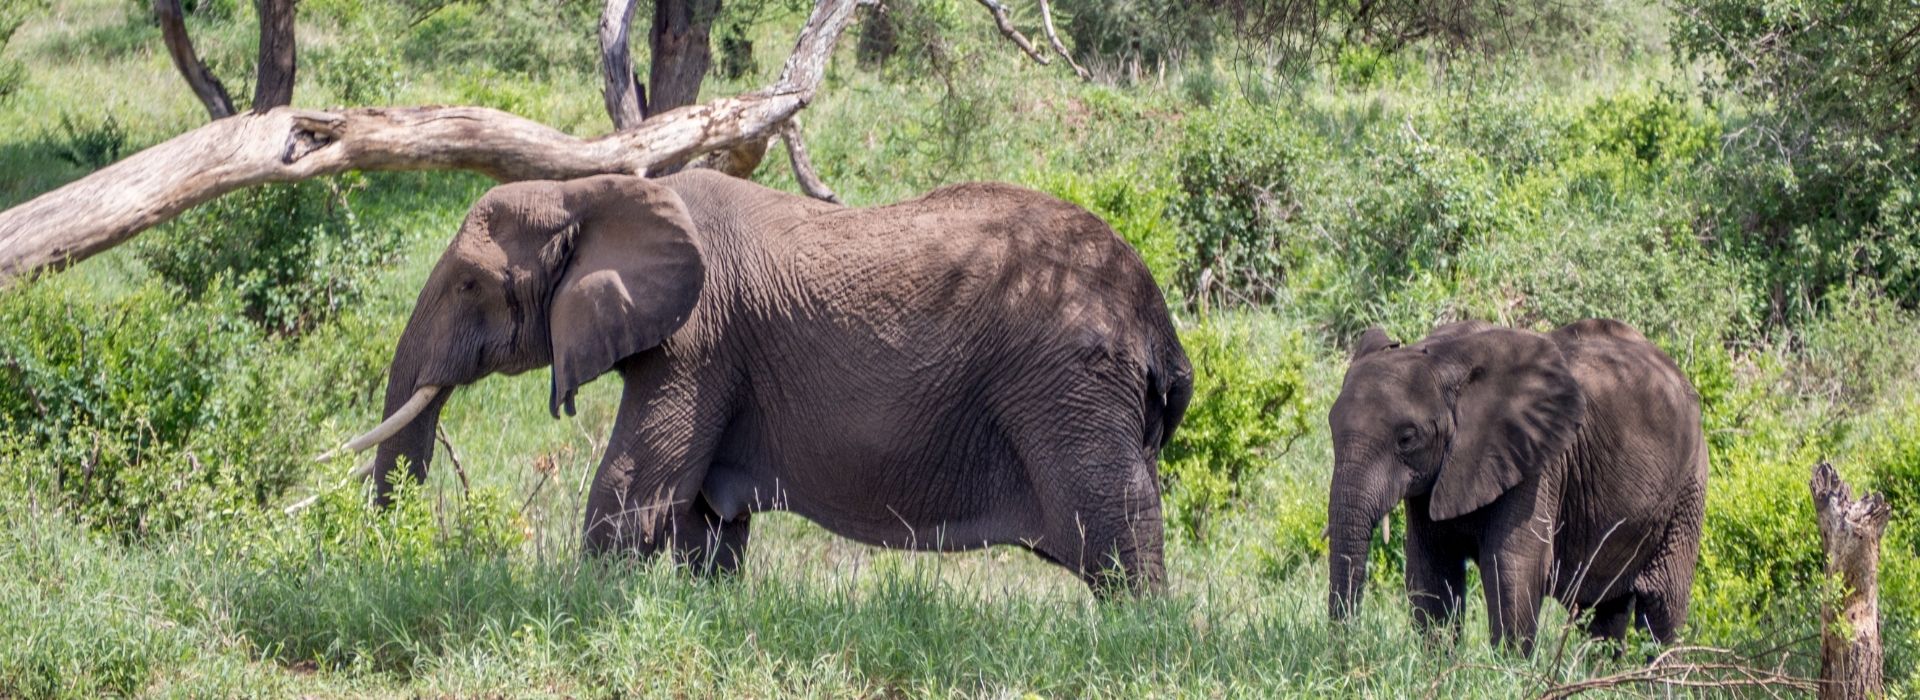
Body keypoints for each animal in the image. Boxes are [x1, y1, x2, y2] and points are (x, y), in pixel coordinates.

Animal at [318, 170, 1193, 594]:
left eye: (470, 283)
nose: (394, 551)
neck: (595, 189)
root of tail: (1155, 314)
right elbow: (706, 520)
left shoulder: (699, 339)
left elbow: (636, 487)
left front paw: (581, 604)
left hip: (1069, 385)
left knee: (1117, 538)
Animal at [1324, 318, 1706, 652]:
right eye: (1331, 426)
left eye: (1406, 439)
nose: (1344, 648)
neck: (1443, 358)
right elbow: (1431, 569)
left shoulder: (1536, 465)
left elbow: (1511, 567)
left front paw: (1506, 672)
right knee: (1606, 613)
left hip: (1688, 488)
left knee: (1663, 608)